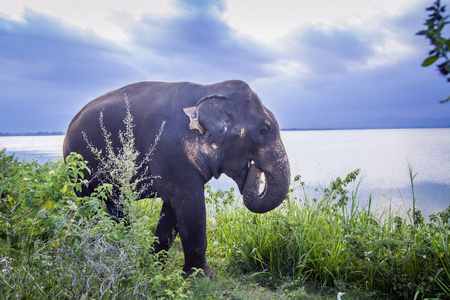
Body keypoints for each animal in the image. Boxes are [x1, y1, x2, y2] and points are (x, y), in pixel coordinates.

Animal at [61, 79, 290, 278]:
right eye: (264, 130)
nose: (255, 169)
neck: (210, 90)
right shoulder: (171, 152)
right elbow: (189, 204)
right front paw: (202, 277)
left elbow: (171, 209)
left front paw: (153, 264)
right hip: (79, 168)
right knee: (91, 205)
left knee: (115, 205)